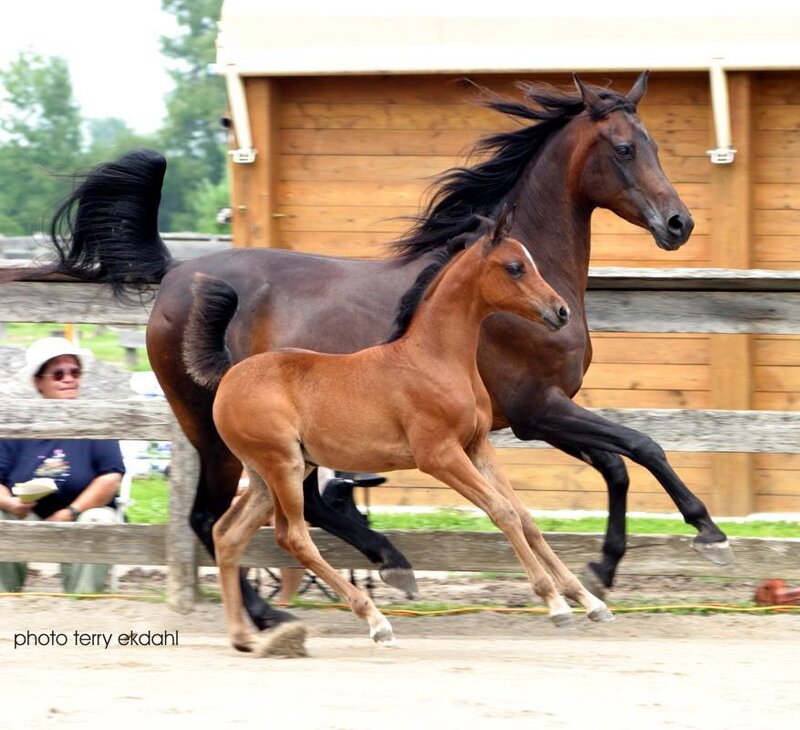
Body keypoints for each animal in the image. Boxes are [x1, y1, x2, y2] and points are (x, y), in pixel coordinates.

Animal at [183, 214, 613, 651]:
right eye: (514, 267)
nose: (560, 311)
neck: (435, 358)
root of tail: (229, 375)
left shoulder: (477, 446)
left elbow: (524, 516)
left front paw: (589, 600)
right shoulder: (440, 455)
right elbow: (503, 512)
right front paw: (555, 604)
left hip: (268, 475)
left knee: (226, 534)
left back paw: (243, 636)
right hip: (282, 467)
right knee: (294, 537)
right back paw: (375, 621)